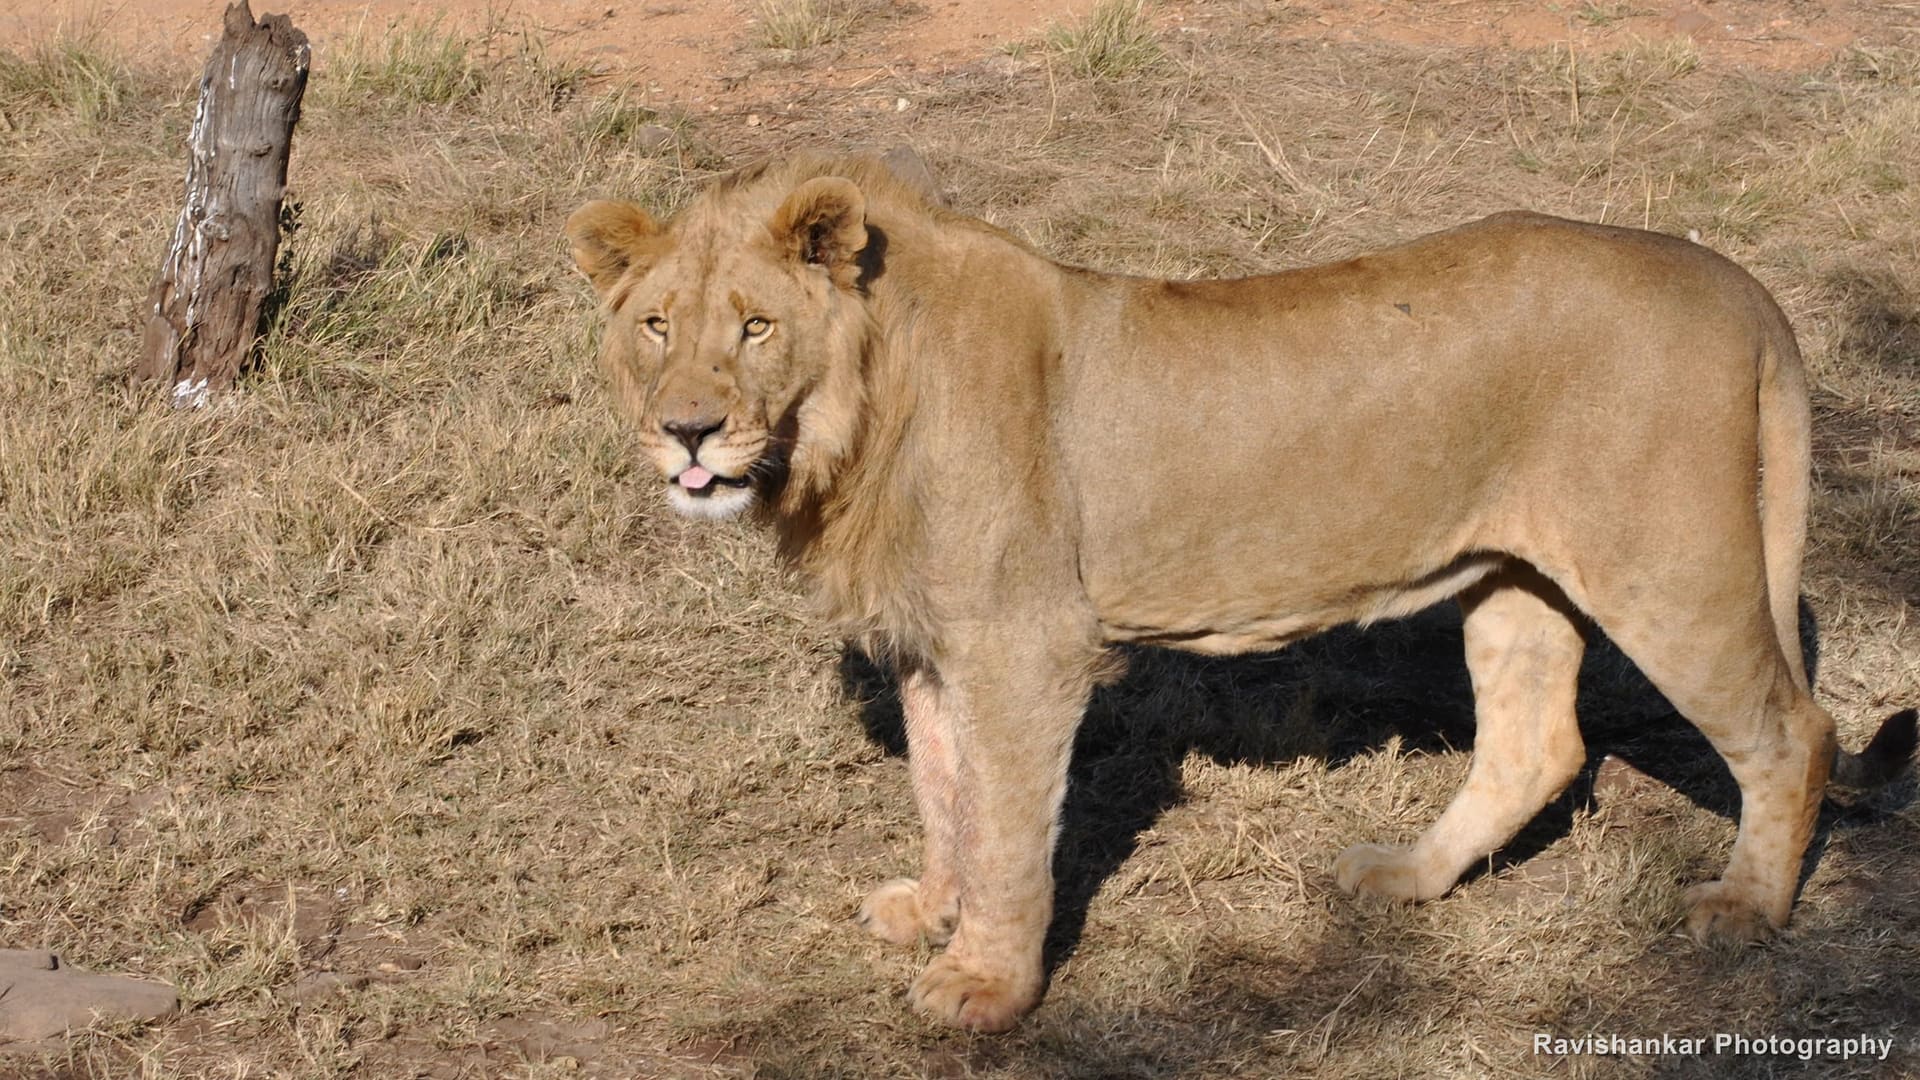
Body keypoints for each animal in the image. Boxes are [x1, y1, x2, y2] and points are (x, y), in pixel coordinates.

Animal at [565, 151, 1916, 1034]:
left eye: (753, 327)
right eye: (654, 326)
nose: (688, 433)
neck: (852, 418)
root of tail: (1730, 279)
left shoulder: (1023, 643)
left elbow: (1007, 824)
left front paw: (986, 986)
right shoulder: (934, 641)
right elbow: (947, 795)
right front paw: (933, 913)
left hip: (1670, 565)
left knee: (1793, 731)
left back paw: (1744, 911)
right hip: (1516, 577)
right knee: (1538, 742)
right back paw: (1405, 880)